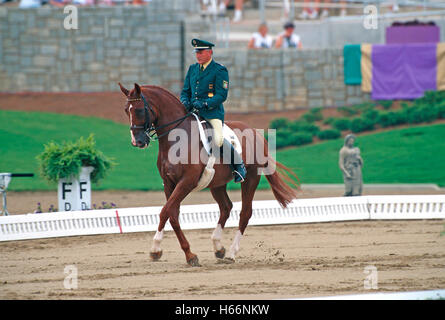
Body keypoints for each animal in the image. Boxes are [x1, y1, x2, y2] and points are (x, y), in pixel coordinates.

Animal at [119, 82, 296, 264]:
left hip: (251, 178)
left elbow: (165, 211)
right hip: (216, 183)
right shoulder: (169, 183)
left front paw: (163, 250)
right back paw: (218, 247)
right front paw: (178, 252)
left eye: (140, 110)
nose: (137, 142)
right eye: (126, 110)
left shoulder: (186, 182)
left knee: (245, 213)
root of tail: (255, 132)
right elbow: (172, 214)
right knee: (226, 207)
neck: (177, 140)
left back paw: (231, 253)